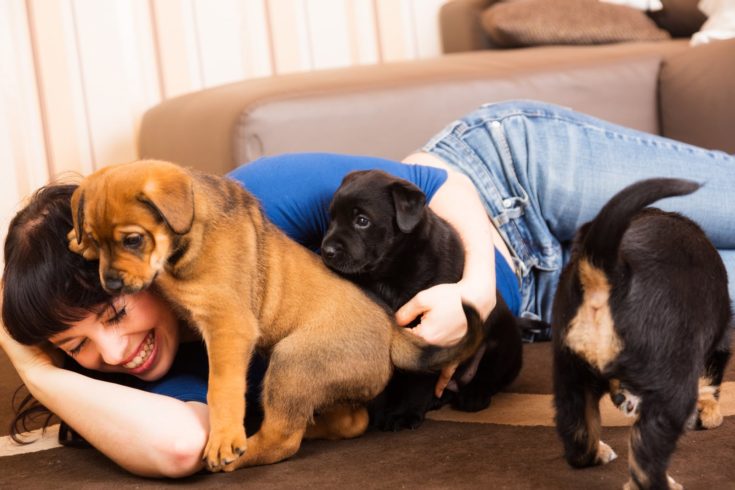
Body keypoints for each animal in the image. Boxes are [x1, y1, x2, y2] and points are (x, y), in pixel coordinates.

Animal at [66, 160, 486, 470]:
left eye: (133, 240)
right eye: (97, 239)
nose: (111, 283)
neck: (189, 234)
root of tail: (391, 330)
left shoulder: (228, 326)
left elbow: (221, 387)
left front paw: (224, 439)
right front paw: (77, 240)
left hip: (291, 362)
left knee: (283, 439)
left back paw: (239, 453)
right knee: (347, 421)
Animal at [324, 170, 528, 430]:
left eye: (362, 220)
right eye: (331, 219)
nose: (327, 250)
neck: (389, 271)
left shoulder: (435, 331)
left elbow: (418, 381)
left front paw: (404, 414)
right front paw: (376, 414)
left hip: (503, 343)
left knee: (491, 375)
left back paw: (474, 395)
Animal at [556, 179, 732, 490]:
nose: (622, 398)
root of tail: (611, 273)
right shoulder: (718, 342)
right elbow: (709, 380)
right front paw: (709, 412)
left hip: (570, 368)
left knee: (577, 440)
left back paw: (597, 452)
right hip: (671, 385)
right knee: (646, 458)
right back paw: (663, 484)